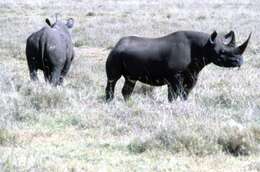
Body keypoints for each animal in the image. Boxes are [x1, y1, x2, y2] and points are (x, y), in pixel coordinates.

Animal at [104, 30, 251, 102]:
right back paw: (110, 102)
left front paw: (183, 104)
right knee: (112, 79)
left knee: (130, 81)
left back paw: (128, 103)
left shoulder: (192, 73)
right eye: (222, 53)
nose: (240, 61)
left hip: (123, 58)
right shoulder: (175, 75)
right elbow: (175, 93)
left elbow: (185, 92)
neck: (204, 46)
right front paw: (173, 105)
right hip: (115, 55)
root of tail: (116, 45)